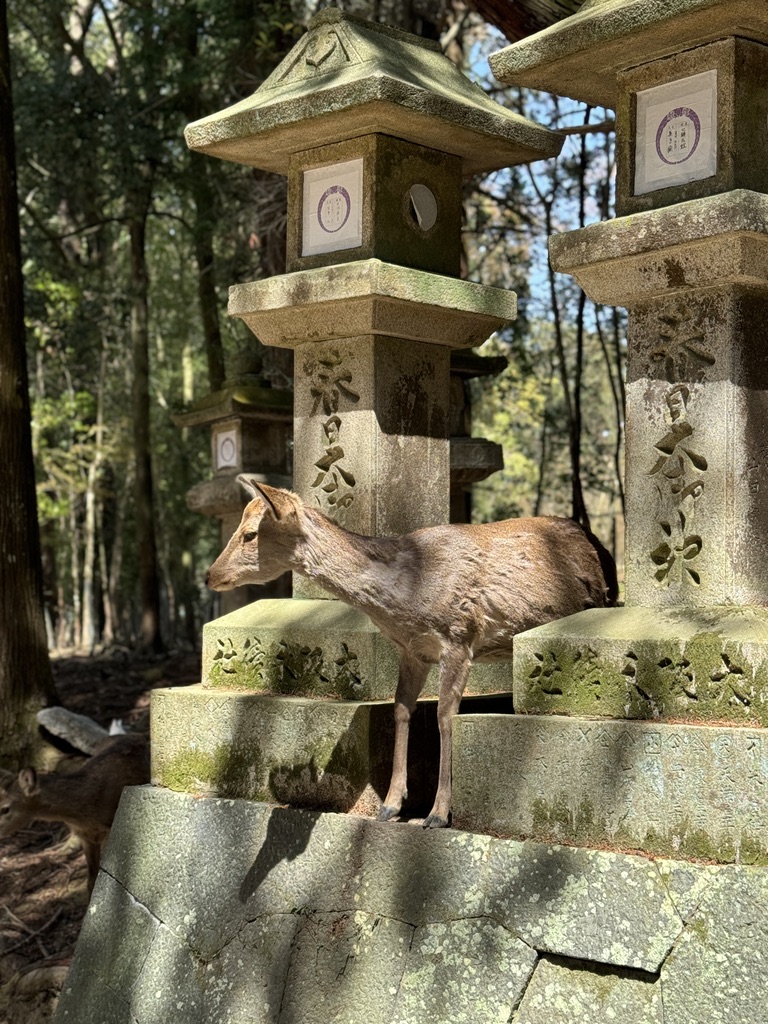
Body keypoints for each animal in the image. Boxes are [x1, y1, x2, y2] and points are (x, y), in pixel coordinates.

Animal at [206, 479, 617, 829]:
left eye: (250, 533)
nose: (209, 575)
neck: (407, 597)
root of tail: (600, 548)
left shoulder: (459, 638)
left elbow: (444, 715)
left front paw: (438, 813)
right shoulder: (412, 650)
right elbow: (402, 709)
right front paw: (390, 805)